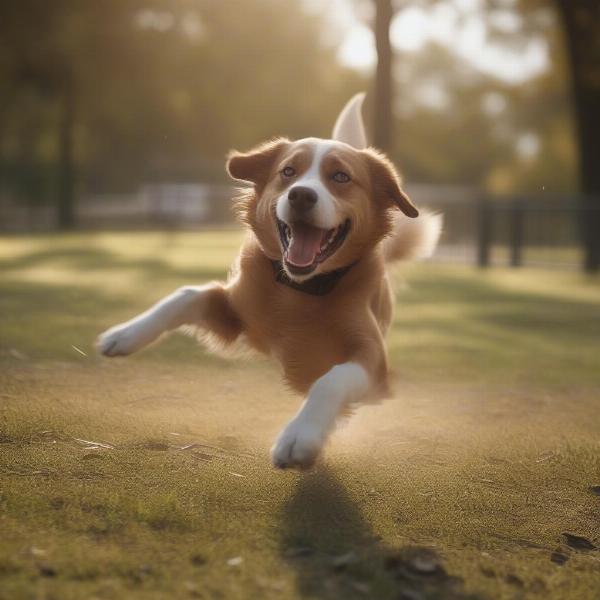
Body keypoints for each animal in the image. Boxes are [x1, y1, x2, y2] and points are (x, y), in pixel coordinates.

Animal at [96, 92, 438, 468]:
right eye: (288, 171)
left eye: (341, 176)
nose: (301, 195)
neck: (302, 292)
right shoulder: (234, 314)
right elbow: (185, 293)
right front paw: (123, 335)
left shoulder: (375, 364)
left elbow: (331, 380)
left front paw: (300, 435)